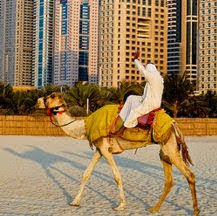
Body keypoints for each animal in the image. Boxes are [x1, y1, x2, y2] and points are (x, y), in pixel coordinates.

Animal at [36, 92, 199, 215]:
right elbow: (86, 173)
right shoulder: (100, 149)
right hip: (165, 149)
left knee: (189, 175)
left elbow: (116, 176)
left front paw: (120, 205)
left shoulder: (105, 149)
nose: (37, 101)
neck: (86, 125)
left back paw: (195, 210)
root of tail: (174, 123)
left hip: (169, 146)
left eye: (50, 96)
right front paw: (75, 202)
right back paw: (154, 208)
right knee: (169, 180)